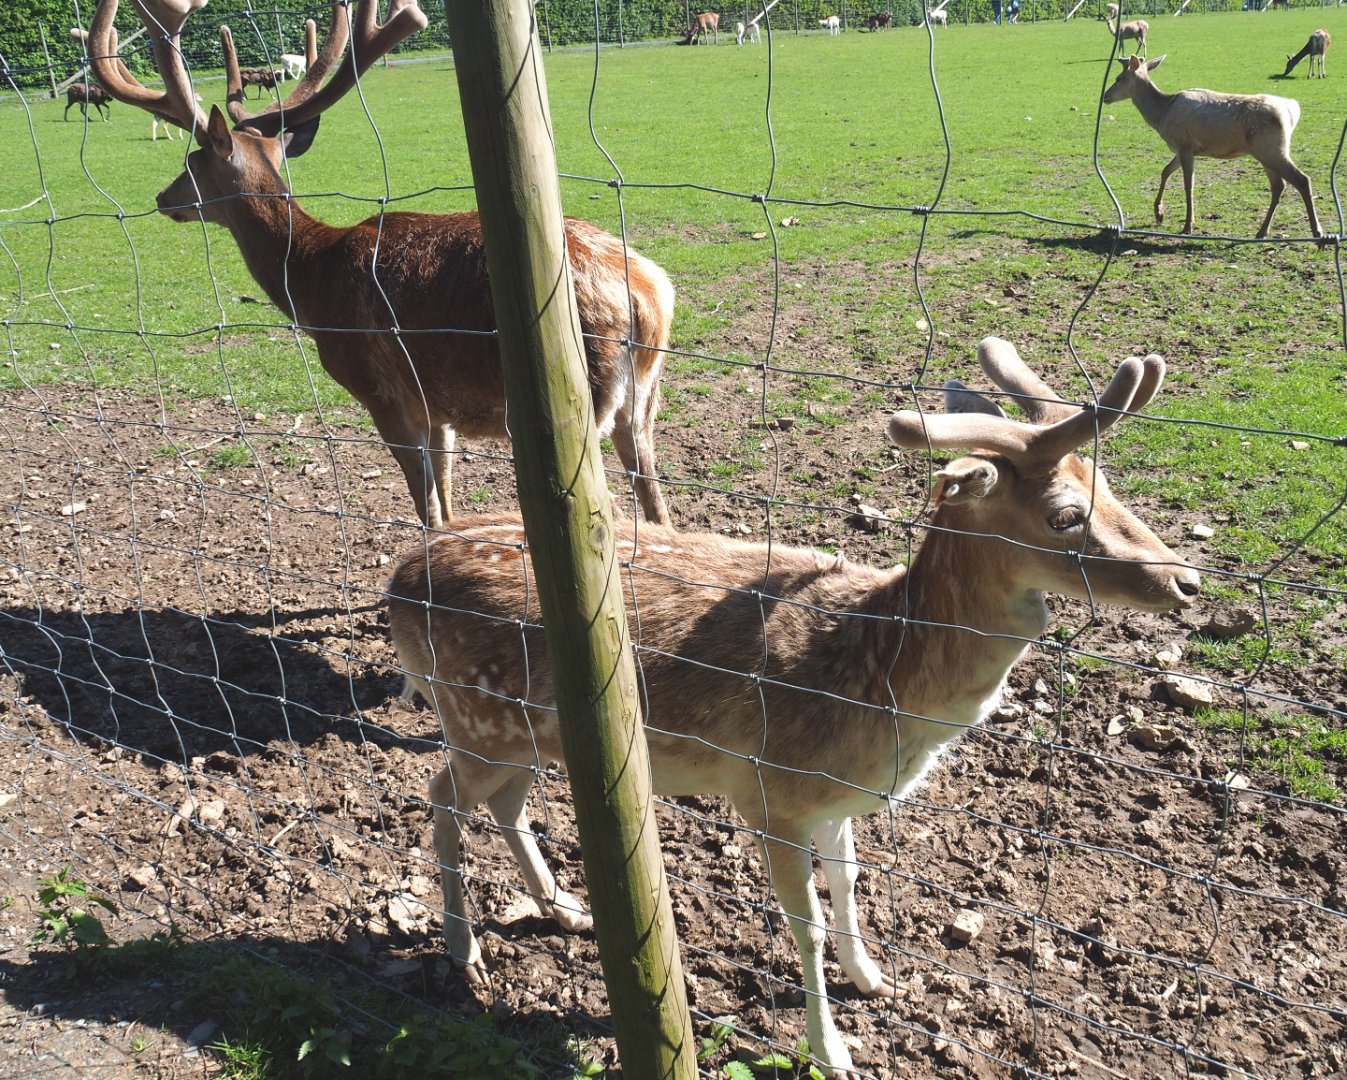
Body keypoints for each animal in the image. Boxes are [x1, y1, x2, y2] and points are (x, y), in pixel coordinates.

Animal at [87, 0, 674, 531]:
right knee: (657, 501)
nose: (163, 198)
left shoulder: (381, 391)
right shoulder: (436, 404)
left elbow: (427, 508)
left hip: (586, 401)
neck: (310, 280)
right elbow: (447, 495)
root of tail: (648, 295)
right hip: (643, 399)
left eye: (192, 162)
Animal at [386, 336, 1201, 1078]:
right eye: (1064, 515)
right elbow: (802, 925)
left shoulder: (833, 799)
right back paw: (463, 952)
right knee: (439, 794)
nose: (1187, 580)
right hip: (471, 716)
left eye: (1109, 484)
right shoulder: (772, 793)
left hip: (526, 735)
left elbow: (849, 882)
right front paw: (831, 1051)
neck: (879, 682)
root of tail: (395, 580)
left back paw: (563, 908)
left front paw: (873, 978)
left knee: (505, 802)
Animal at [1104, 53, 1321, 239]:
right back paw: (1262, 231)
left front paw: (1187, 226)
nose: (1105, 96)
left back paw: (1316, 232)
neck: (1162, 114)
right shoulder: (1185, 148)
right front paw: (1159, 213)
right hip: (1267, 152)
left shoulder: (1184, 144)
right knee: (1279, 186)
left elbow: (1188, 184)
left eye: (1119, 78)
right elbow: (1165, 171)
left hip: (1272, 148)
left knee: (1302, 179)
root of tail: (1291, 110)